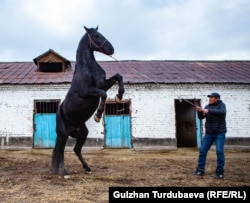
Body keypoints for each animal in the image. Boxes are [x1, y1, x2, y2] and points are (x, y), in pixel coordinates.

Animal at [51, 26, 124, 176]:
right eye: (96, 36)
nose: (111, 49)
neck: (88, 69)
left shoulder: (103, 84)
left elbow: (118, 76)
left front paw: (119, 96)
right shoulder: (88, 92)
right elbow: (103, 94)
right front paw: (98, 115)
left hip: (82, 135)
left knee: (75, 150)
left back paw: (86, 167)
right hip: (63, 134)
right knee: (60, 150)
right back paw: (64, 172)